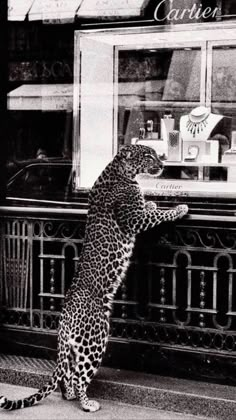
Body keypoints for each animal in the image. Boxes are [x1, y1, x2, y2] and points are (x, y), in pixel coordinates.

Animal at [0, 144, 188, 410]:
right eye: (148, 155)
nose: (162, 165)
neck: (121, 171)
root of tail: (65, 318)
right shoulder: (134, 219)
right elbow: (159, 215)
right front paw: (178, 209)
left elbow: (148, 209)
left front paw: (151, 203)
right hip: (95, 340)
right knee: (80, 376)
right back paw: (87, 403)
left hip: (74, 347)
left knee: (68, 374)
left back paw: (69, 395)